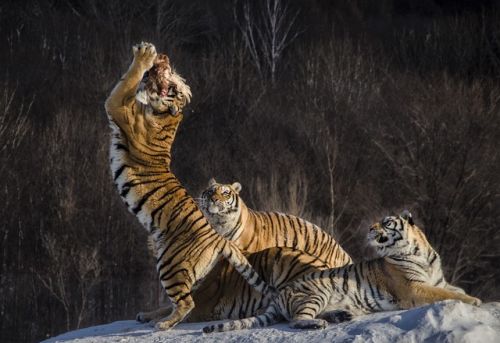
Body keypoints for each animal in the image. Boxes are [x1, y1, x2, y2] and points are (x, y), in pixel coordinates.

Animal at [104, 41, 274, 332]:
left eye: (174, 85)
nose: (164, 57)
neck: (165, 115)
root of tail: (218, 237)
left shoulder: (118, 105)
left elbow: (126, 80)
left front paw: (143, 55)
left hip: (169, 264)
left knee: (187, 303)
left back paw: (161, 325)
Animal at [203, 211, 480, 334]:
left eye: (387, 222)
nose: (370, 228)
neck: (419, 251)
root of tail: (280, 292)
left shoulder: (439, 280)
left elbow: (454, 289)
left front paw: (474, 297)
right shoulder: (414, 287)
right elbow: (444, 294)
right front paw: (474, 301)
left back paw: (341, 315)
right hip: (317, 293)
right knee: (296, 319)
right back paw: (318, 323)